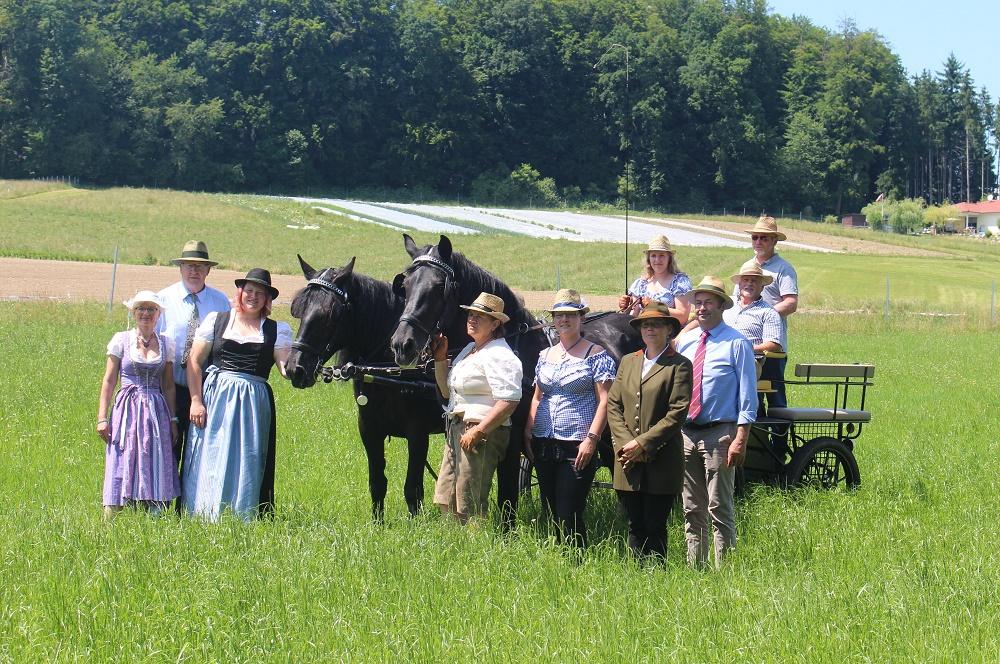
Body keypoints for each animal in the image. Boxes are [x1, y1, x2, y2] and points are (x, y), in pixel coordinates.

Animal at [286, 254, 442, 520]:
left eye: (329, 315)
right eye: (299, 310)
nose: (295, 369)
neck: (390, 370)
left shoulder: (418, 433)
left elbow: (413, 488)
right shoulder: (369, 429)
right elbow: (377, 482)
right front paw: (377, 523)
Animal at [390, 233, 640, 528]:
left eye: (440, 286)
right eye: (405, 285)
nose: (402, 345)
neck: (517, 348)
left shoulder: (512, 440)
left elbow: (507, 494)